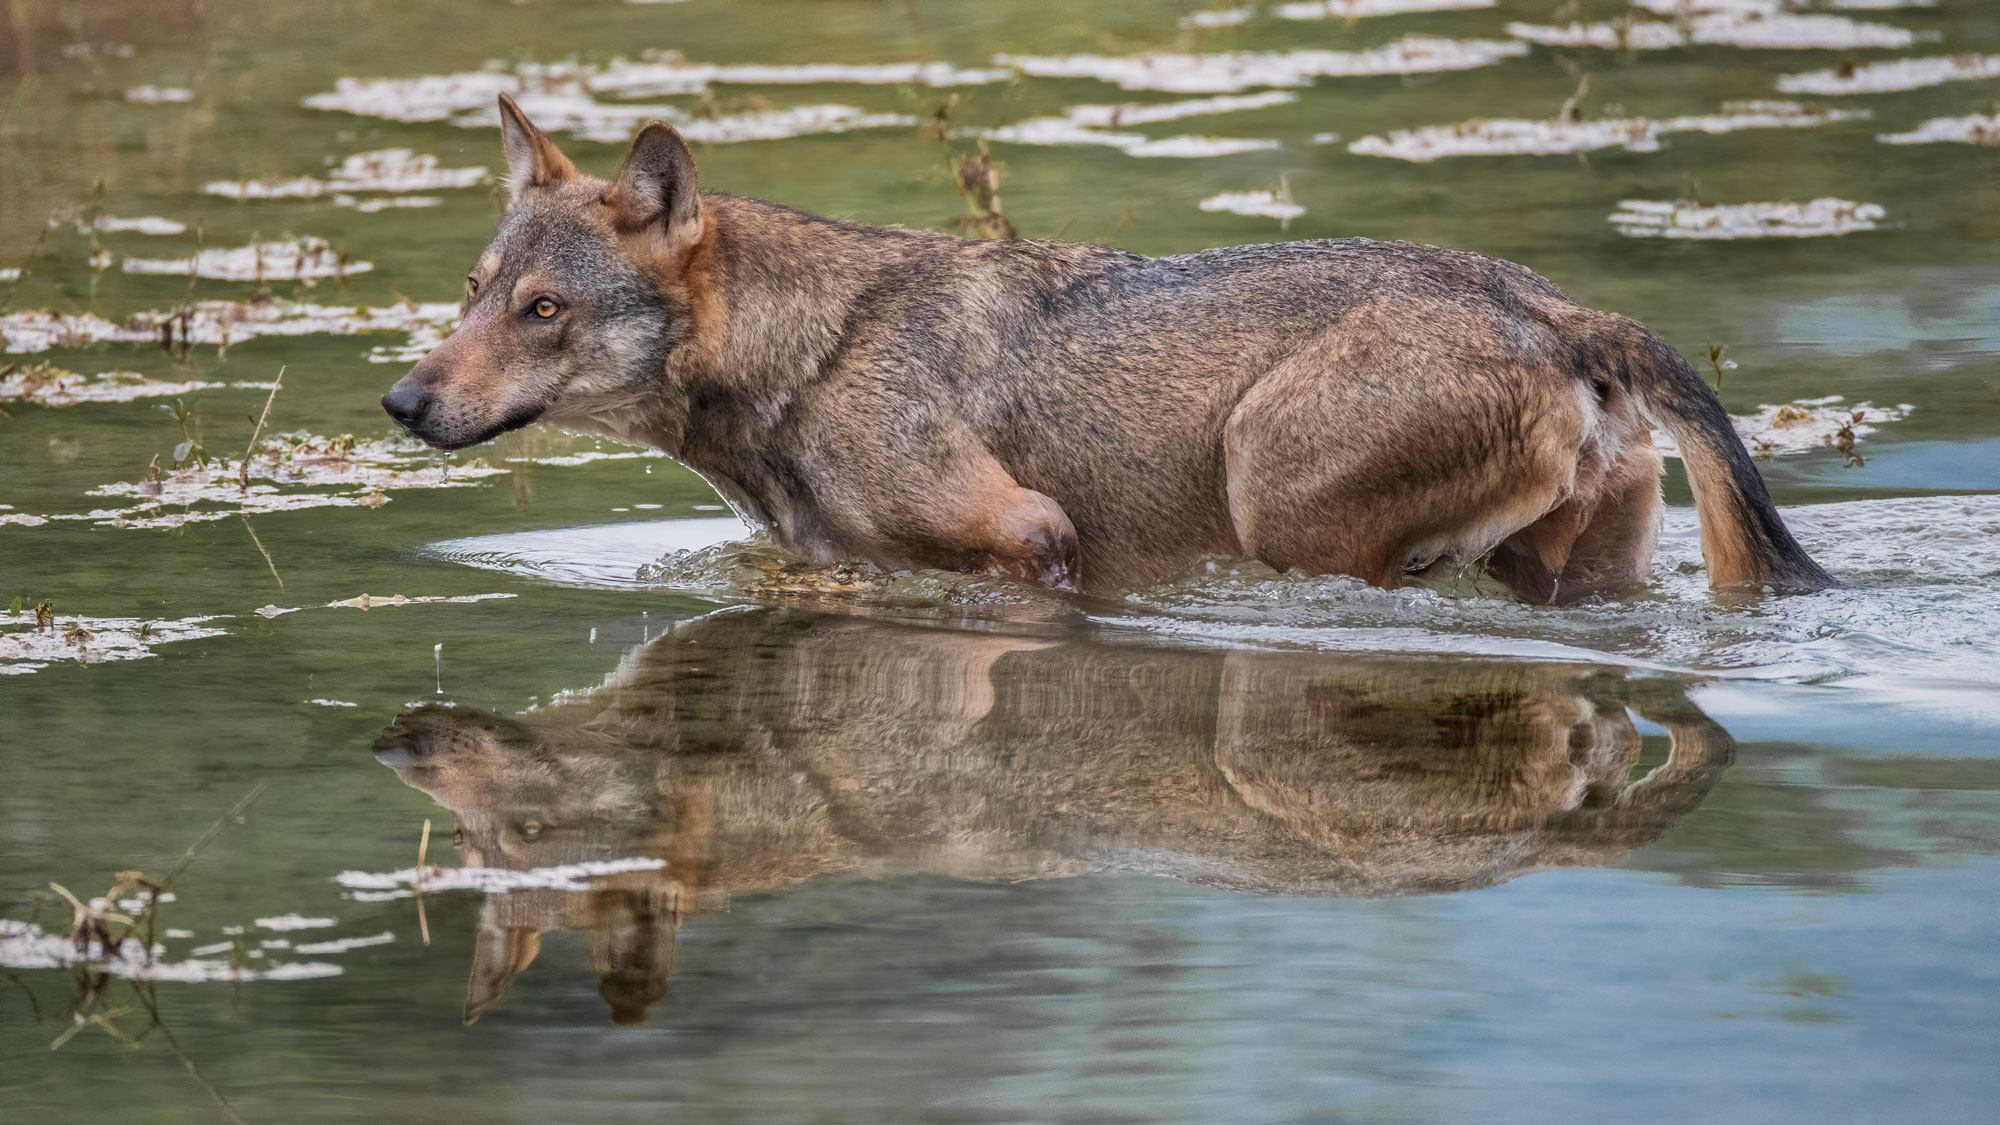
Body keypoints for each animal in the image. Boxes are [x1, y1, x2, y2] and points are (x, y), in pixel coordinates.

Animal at [381, 93, 1833, 600]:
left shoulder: (1032, 538)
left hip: (1273, 501)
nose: (399, 400)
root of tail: (1547, 303)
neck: (811, 356)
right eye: (472, 293)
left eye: (543, 311)